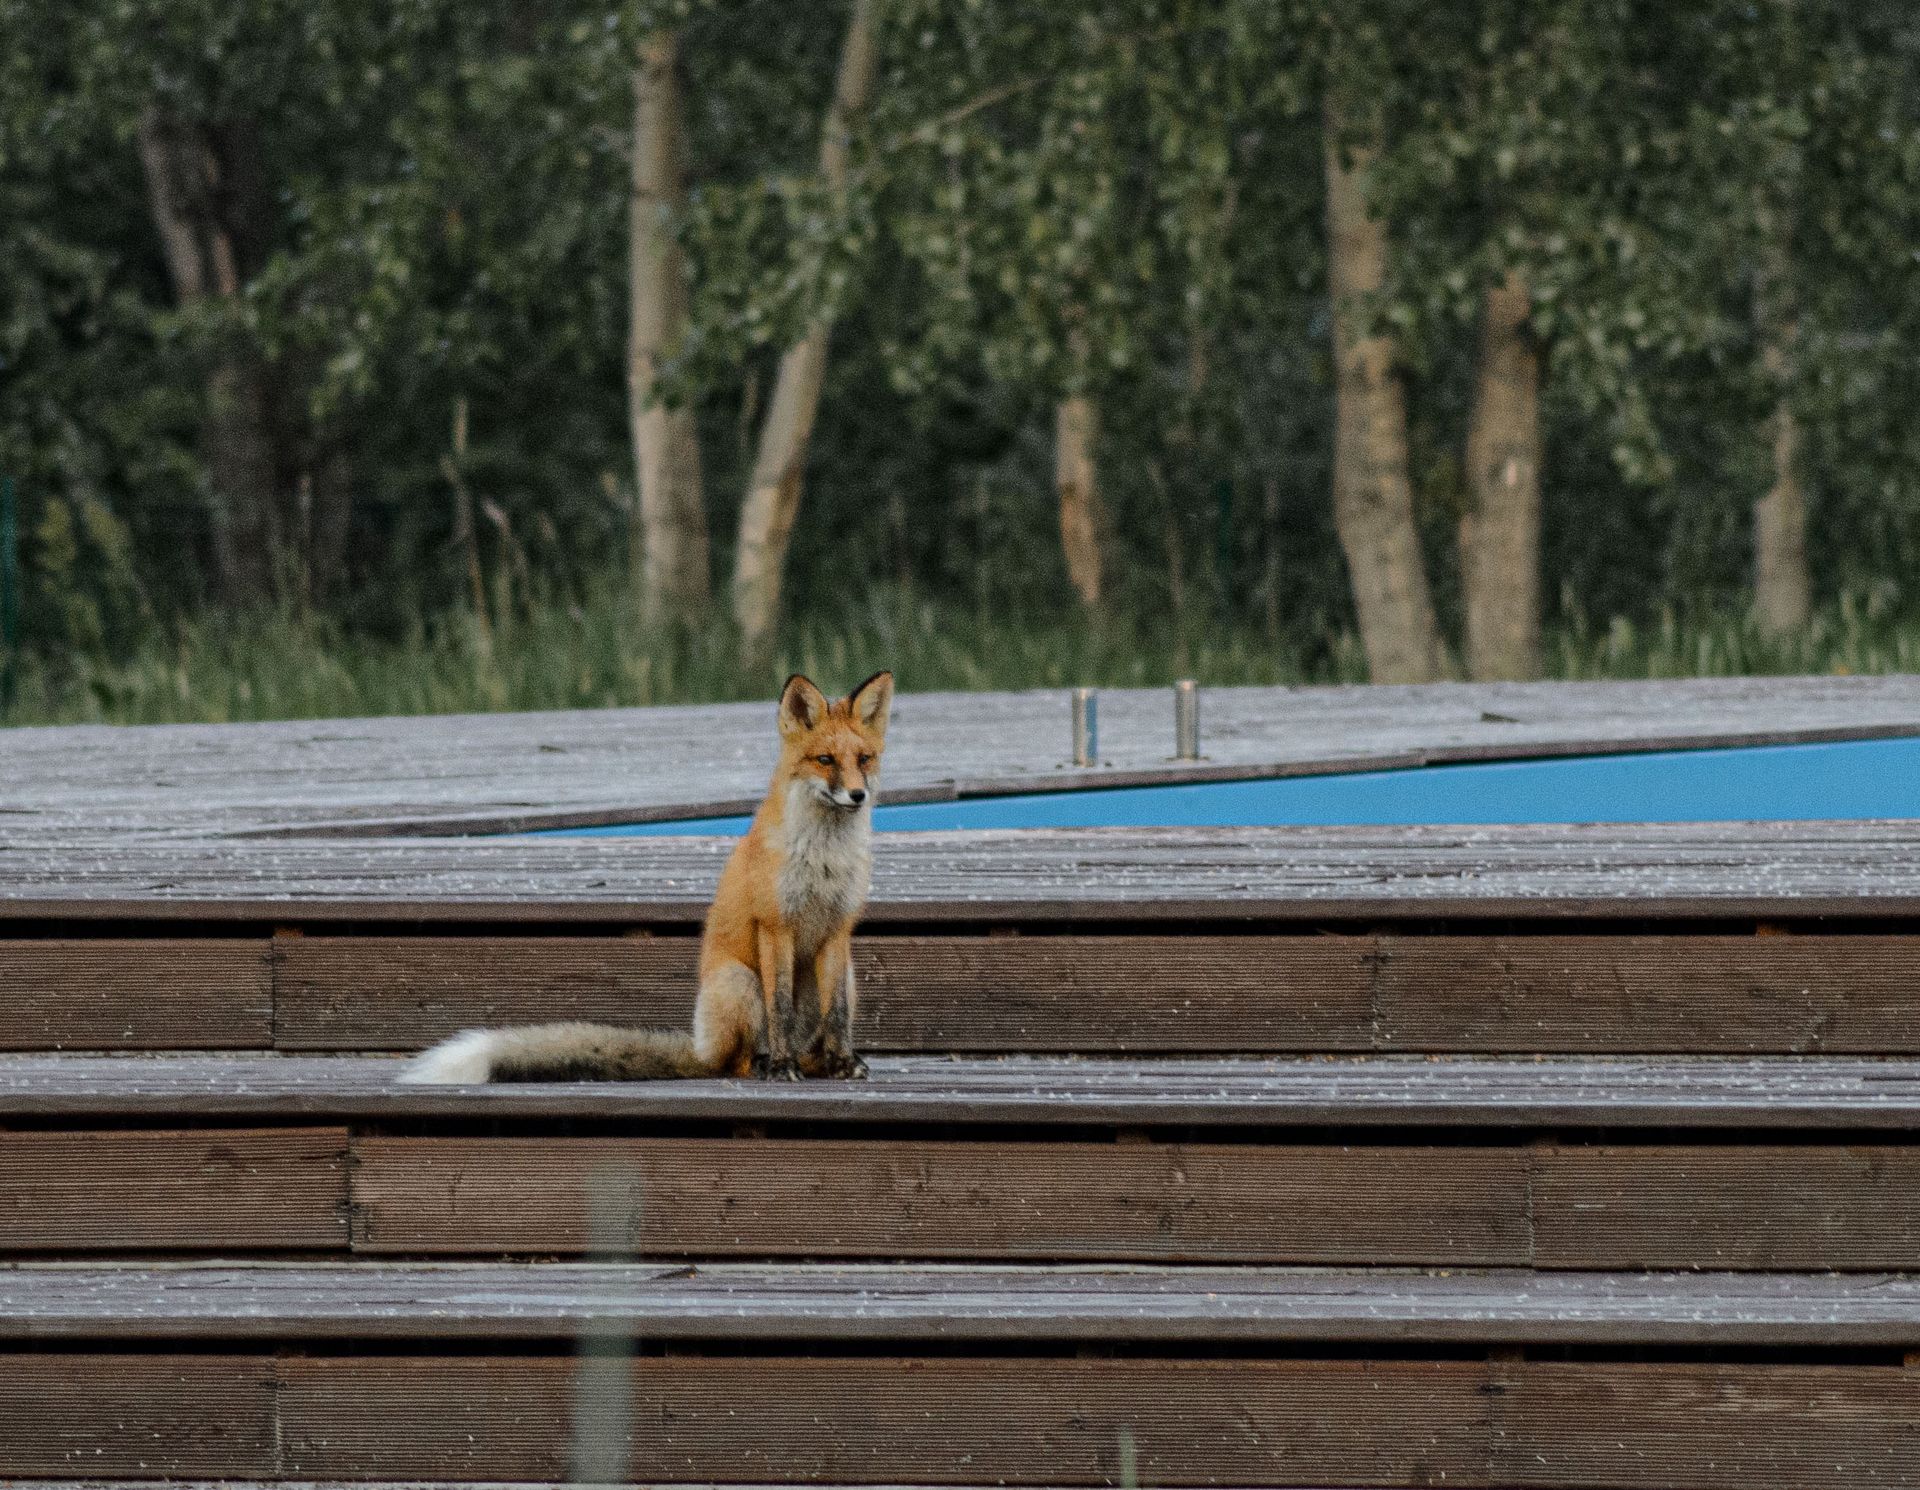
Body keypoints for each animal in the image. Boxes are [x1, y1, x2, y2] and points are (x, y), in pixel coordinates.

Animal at [402, 670, 893, 1084]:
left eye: (864, 759)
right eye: (825, 760)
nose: (857, 795)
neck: (824, 858)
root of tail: (701, 1048)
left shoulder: (838, 930)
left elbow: (838, 1015)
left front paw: (843, 1063)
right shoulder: (775, 926)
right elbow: (781, 1012)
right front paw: (782, 1066)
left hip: (848, 973)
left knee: (812, 1033)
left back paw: (817, 1064)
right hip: (739, 982)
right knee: (735, 1061)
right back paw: (766, 1063)